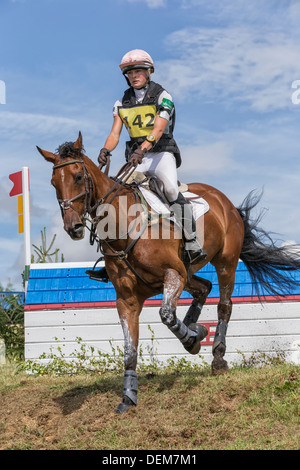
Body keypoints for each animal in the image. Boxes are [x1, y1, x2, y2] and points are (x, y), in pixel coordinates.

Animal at [37, 131, 300, 412]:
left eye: (77, 177)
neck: (125, 226)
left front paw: (192, 341)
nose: (73, 228)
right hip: (188, 271)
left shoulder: (172, 275)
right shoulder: (128, 299)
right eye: (54, 183)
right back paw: (197, 329)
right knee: (204, 288)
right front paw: (128, 397)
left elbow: (166, 315)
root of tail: (225, 201)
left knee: (224, 306)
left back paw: (217, 356)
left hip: (224, 262)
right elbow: (130, 348)